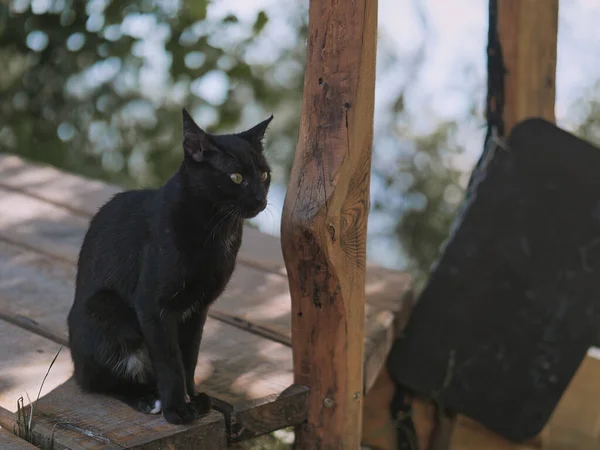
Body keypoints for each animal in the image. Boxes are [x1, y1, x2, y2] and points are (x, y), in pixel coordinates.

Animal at [67, 107, 272, 424]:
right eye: (236, 177)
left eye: (263, 174)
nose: (261, 199)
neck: (217, 229)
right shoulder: (152, 306)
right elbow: (168, 360)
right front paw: (176, 408)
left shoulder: (198, 309)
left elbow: (189, 356)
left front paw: (192, 397)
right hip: (105, 310)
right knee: (96, 381)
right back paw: (146, 397)